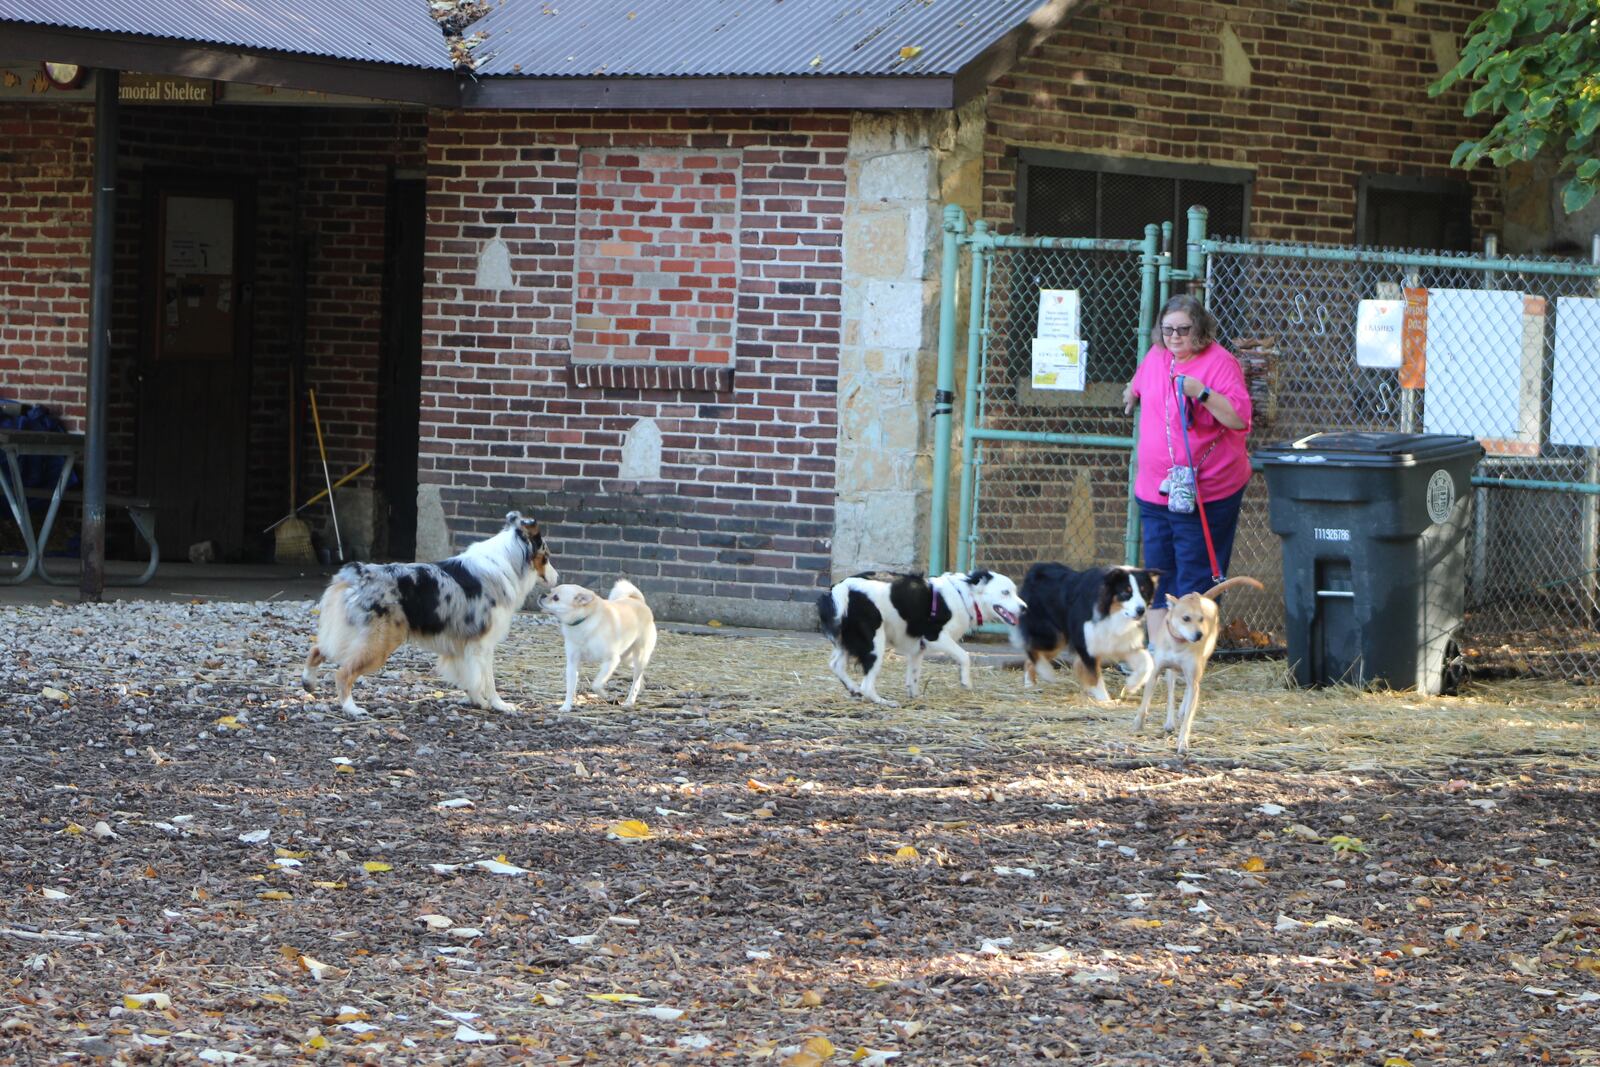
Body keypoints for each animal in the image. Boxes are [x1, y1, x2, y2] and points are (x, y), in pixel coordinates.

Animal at [540, 579, 659, 713]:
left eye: (556, 598)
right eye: (550, 592)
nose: (542, 595)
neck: (584, 621)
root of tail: (639, 601)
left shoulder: (611, 660)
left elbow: (596, 684)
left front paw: (603, 694)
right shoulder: (572, 663)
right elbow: (570, 688)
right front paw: (566, 706)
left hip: (638, 656)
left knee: (635, 680)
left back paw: (629, 701)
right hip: (626, 659)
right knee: (637, 675)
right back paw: (641, 684)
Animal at [819, 572, 1030, 703]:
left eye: (1014, 592)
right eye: (1005, 592)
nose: (1024, 608)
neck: (964, 596)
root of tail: (841, 588)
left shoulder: (917, 649)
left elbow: (913, 676)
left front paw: (916, 697)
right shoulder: (935, 637)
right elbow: (965, 656)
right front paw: (965, 681)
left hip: (848, 641)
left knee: (836, 665)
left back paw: (854, 690)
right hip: (874, 643)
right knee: (867, 684)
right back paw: (882, 701)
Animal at [1132, 575, 1267, 758]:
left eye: (1202, 619)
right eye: (1186, 618)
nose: (1199, 635)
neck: (1179, 643)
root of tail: (1203, 597)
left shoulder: (1193, 677)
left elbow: (1188, 717)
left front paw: (1182, 742)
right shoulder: (1155, 672)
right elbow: (1145, 703)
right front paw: (1138, 724)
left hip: (1199, 666)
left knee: (1189, 690)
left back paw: (1181, 711)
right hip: (1171, 673)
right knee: (1171, 693)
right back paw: (1170, 721)